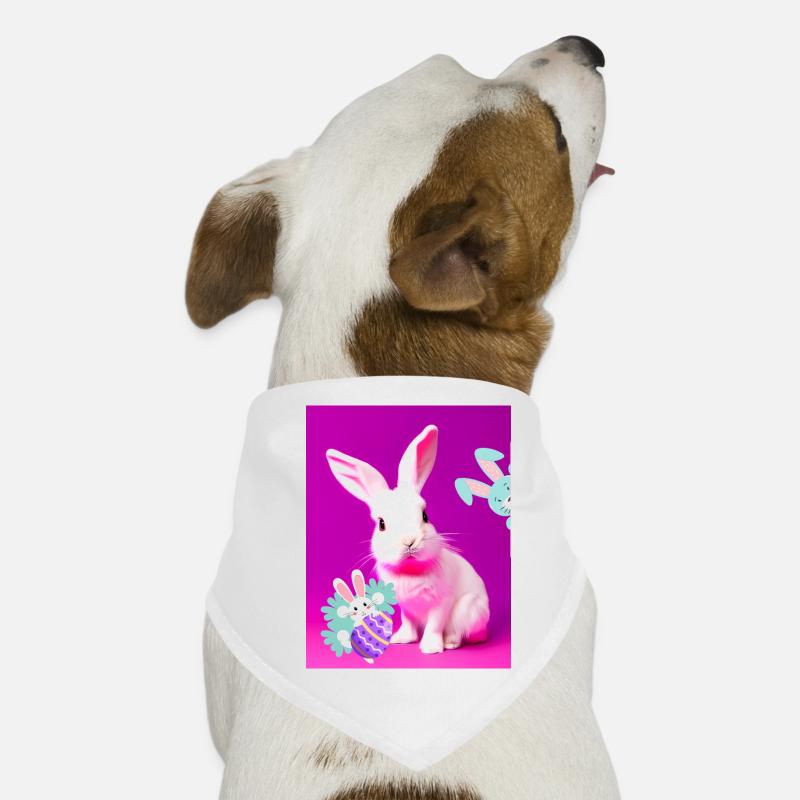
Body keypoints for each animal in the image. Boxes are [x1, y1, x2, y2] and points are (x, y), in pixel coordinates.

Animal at [326, 425, 490, 654]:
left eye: (425, 515)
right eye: (381, 524)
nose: (409, 541)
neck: (410, 570)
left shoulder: (441, 602)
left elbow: (434, 624)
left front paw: (430, 648)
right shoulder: (406, 606)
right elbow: (408, 622)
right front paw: (401, 639)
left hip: (469, 609)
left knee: (460, 631)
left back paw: (450, 642)